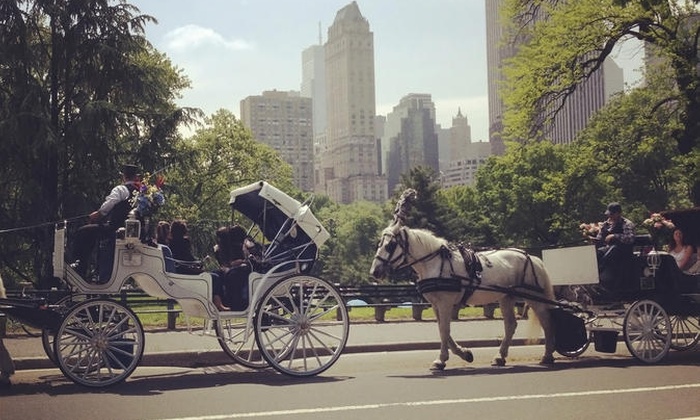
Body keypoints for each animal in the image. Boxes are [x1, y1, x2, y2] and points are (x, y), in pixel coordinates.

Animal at [370, 221, 556, 370]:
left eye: (390, 245)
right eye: (379, 244)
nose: (374, 271)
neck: (435, 262)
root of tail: (532, 257)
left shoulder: (445, 303)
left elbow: (444, 330)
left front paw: (441, 360)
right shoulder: (436, 304)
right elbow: (442, 330)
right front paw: (463, 353)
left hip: (532, 297)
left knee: (546, 322)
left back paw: (547, 355)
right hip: (506, 298)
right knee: (510, 325)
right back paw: (500, 356)